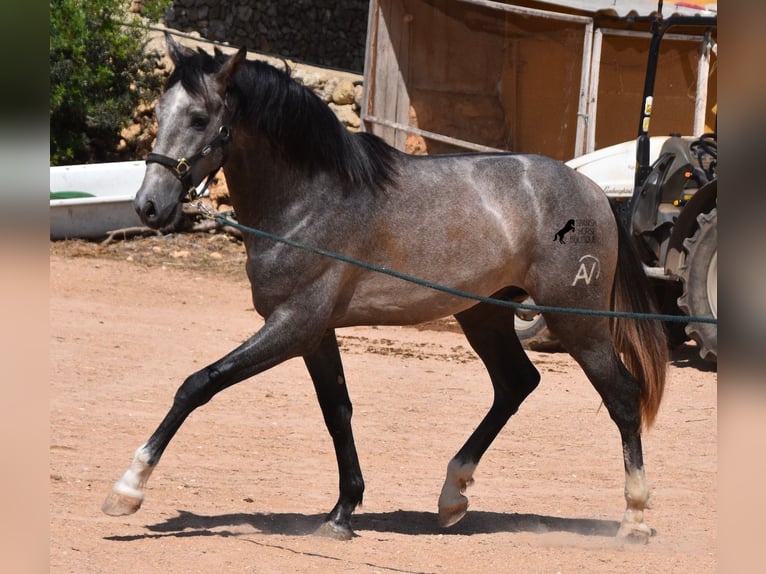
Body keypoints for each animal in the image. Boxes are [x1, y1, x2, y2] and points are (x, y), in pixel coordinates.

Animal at [103, 37, 672, 544]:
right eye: (159, 111)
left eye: (200, 119)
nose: (149, 206)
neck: (310, 199)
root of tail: (595, 192)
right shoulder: (315, 334)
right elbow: (338, 413)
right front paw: (341, 513)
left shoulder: (293, 325)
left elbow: (198, 384)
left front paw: (127, 490)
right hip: (484, 315)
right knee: (516, 384)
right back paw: (452, 495)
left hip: (576, 320)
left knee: (622, 397)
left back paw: (634, 518)